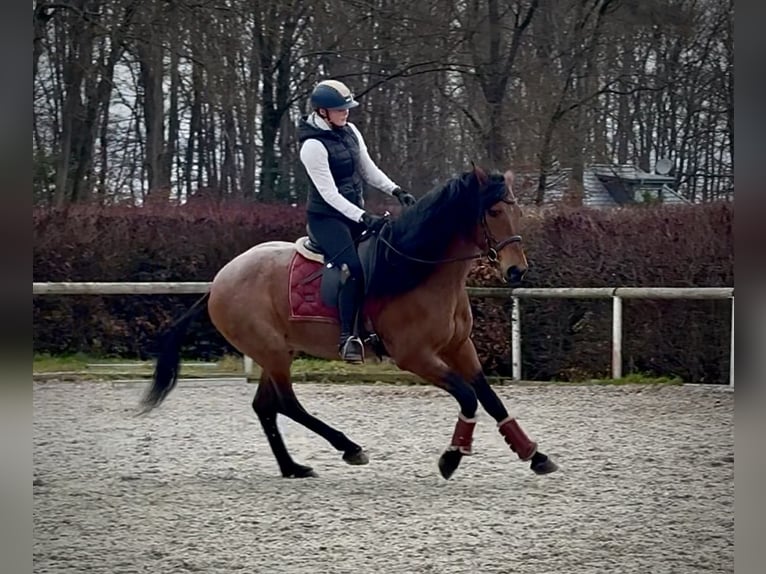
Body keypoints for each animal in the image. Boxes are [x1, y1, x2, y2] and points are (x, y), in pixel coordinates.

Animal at [140, 166, 558, 480]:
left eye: (517, 211)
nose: (517, 270)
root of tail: (220, 280)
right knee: (286, 403)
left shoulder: (459, 347)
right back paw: (348, 447)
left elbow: (490, 397)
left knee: (266, 406)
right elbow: (468, 396)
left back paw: (293, 467)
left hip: (278, 352)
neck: (418, 268)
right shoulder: (416, 357)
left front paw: (533, 453)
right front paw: (453, 455)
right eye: (493, 212)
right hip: (271, 350)